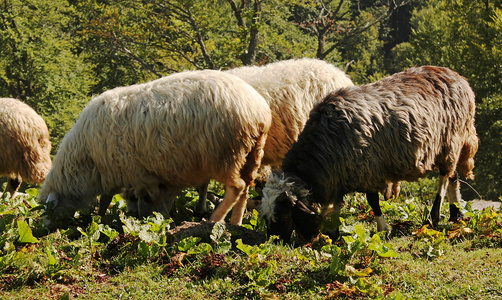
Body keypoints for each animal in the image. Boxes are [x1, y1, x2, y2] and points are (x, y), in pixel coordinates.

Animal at [39, 69, 272, 225]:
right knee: (246, 189)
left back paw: (213, 221)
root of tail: (257, 109)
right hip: (252, 153)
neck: (85, 158)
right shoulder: (116, 173)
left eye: (50, 210)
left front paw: (166, 220)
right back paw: (235, 223)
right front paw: (99, 218)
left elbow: (156, 198)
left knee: (236, 188)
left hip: (225, 155)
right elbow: (106, 199)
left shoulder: (140, 173)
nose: (46, 229)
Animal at [260, 66, 480, 244]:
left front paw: (383, 230)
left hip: (450, 140)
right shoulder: (338, 175)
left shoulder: (369, 169)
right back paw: (455, 214)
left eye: (283, 214)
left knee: (444, 177)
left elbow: (372, 201)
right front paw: (332, 232)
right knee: (453, 176)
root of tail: (457, 76)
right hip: (451, 145)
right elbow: (337, 203)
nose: (275, 241)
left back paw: (434, 216)